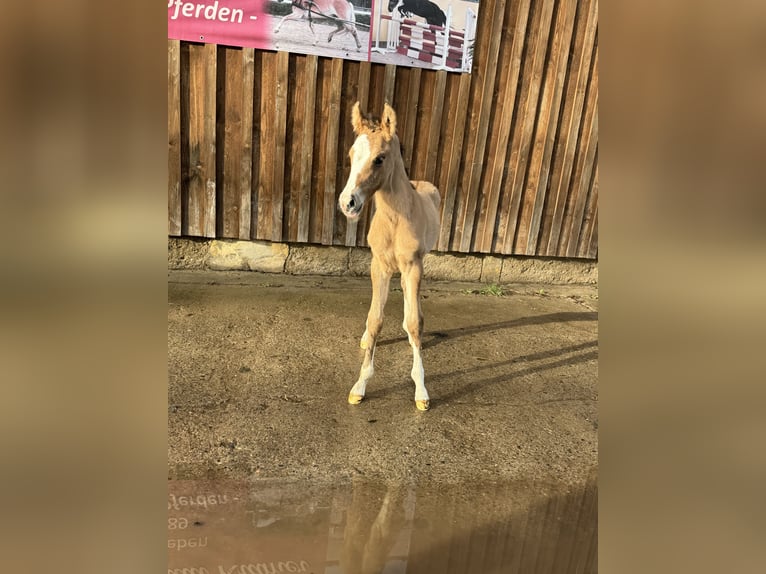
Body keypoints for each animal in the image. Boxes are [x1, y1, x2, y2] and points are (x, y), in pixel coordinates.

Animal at [340, 101, 440, 412]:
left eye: (379, 159)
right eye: (351, 155)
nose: (347, 203)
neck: (395, 219)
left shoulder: (413, 266)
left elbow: (414, 322)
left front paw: (421, 390)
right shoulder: (379, 266)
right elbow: (375, 320)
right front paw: (359, 386)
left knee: (412, 303)